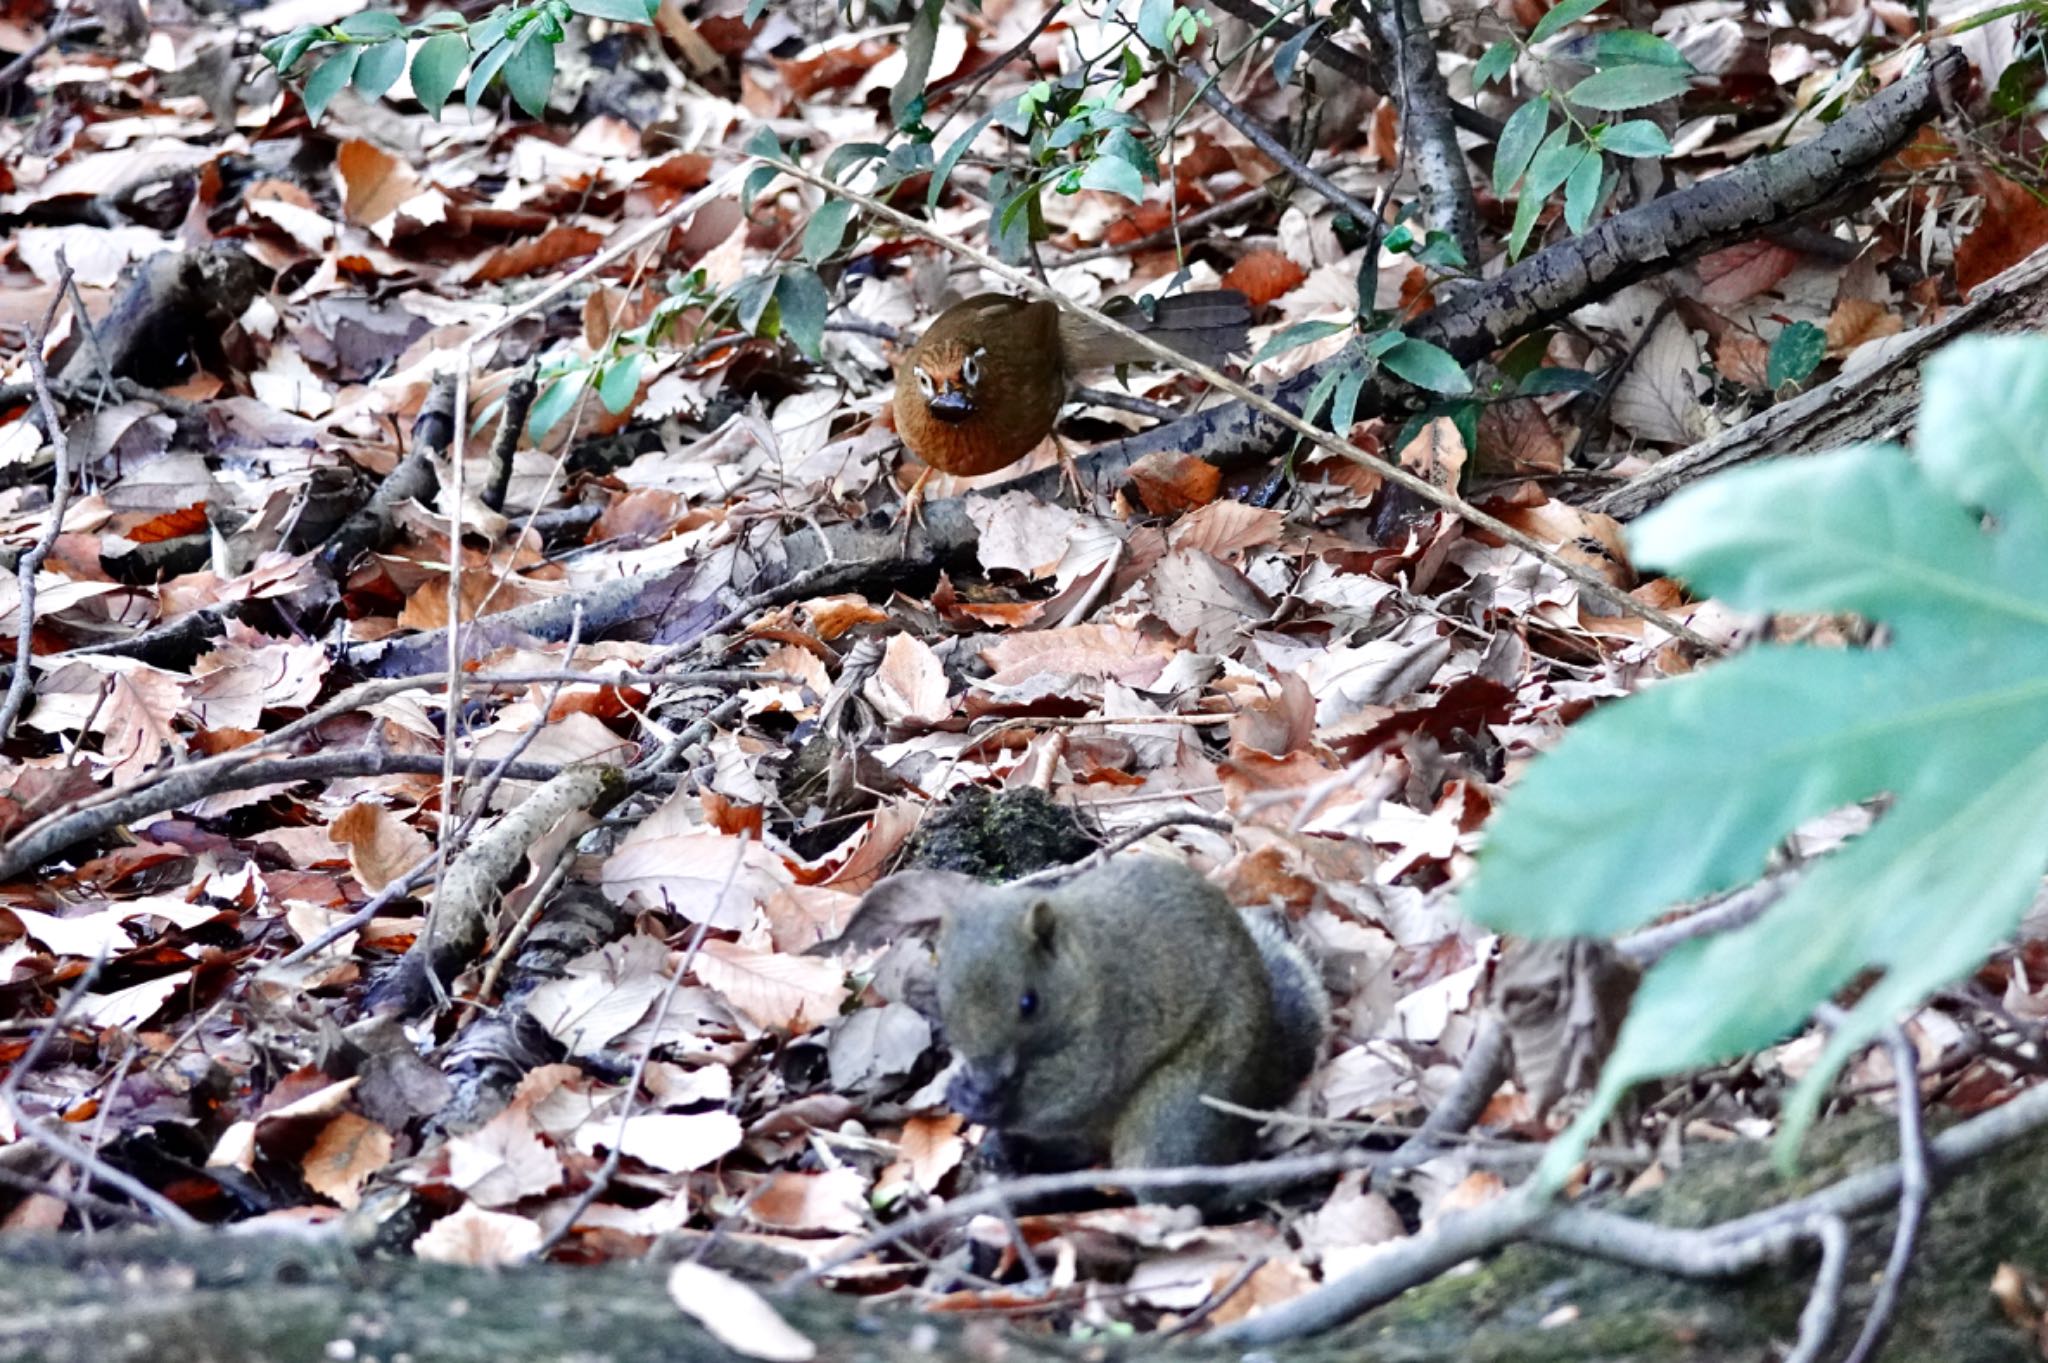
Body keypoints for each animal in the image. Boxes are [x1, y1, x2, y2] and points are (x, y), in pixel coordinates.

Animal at [929, 855, 1327, 1170]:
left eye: (1029, 1003)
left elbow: (1075, 1094)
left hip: (1179, 1108)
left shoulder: (1113, 1027)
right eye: (943, 1001)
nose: (985, 1080)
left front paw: (983, 1103)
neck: (1083, 964)